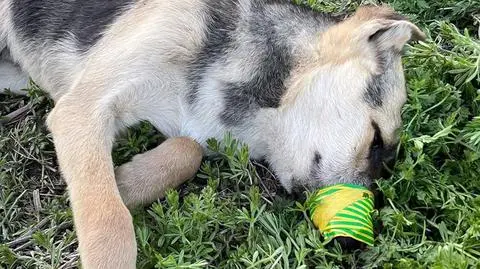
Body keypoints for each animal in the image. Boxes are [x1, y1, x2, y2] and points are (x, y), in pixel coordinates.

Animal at [1, 0, 426, 266]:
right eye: (376, 142)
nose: (349, 243)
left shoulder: (185, 123)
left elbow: (186, 151)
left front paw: (124, 182)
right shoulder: (81, 109)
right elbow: (109, 223)